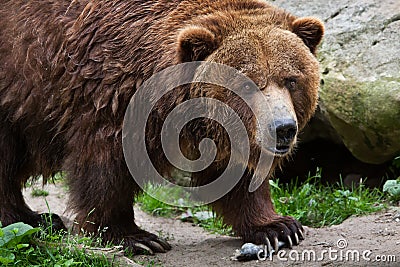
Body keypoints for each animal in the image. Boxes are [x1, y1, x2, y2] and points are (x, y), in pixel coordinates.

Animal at [0, 0, 324, 255]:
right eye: (247, 83)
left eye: (291, 79)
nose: (282, 128)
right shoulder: (110, 97)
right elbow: (104, 167)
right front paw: (134, 237)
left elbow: (237, 173)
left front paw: (279, 226)